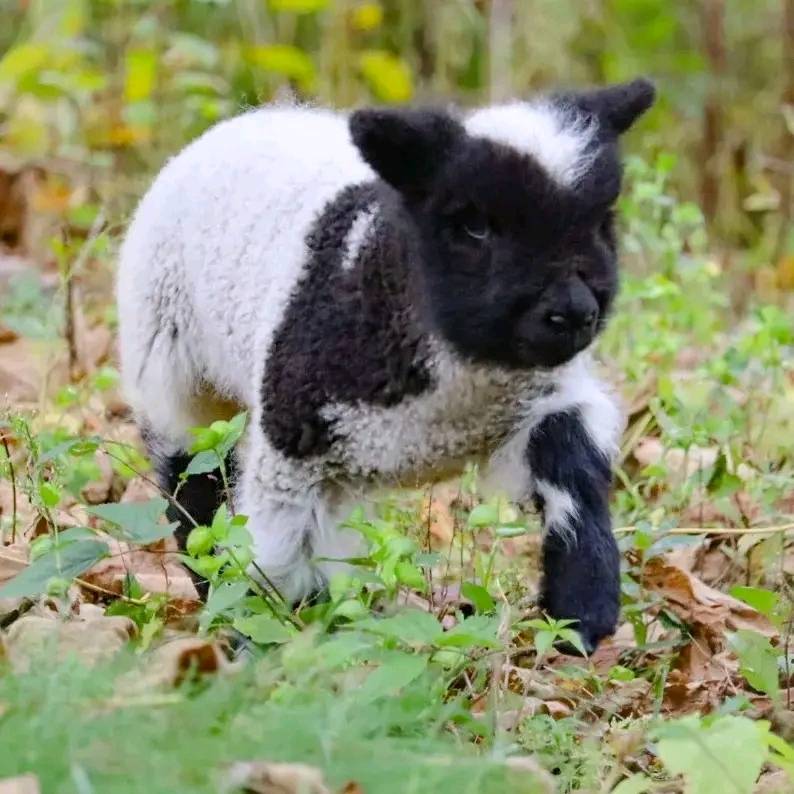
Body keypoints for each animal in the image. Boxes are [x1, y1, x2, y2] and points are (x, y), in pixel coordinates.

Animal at [114, 79, 652, 648]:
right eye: (474, 226)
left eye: (601, 222)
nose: (574, 312)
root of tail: (246, 119)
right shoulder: (294, 447)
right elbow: (280, 554)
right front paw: (273, 633)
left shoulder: (538, 402)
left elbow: (571, 466)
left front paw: (582, 615)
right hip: (171, 370)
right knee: (192, 483)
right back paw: (215, 584)